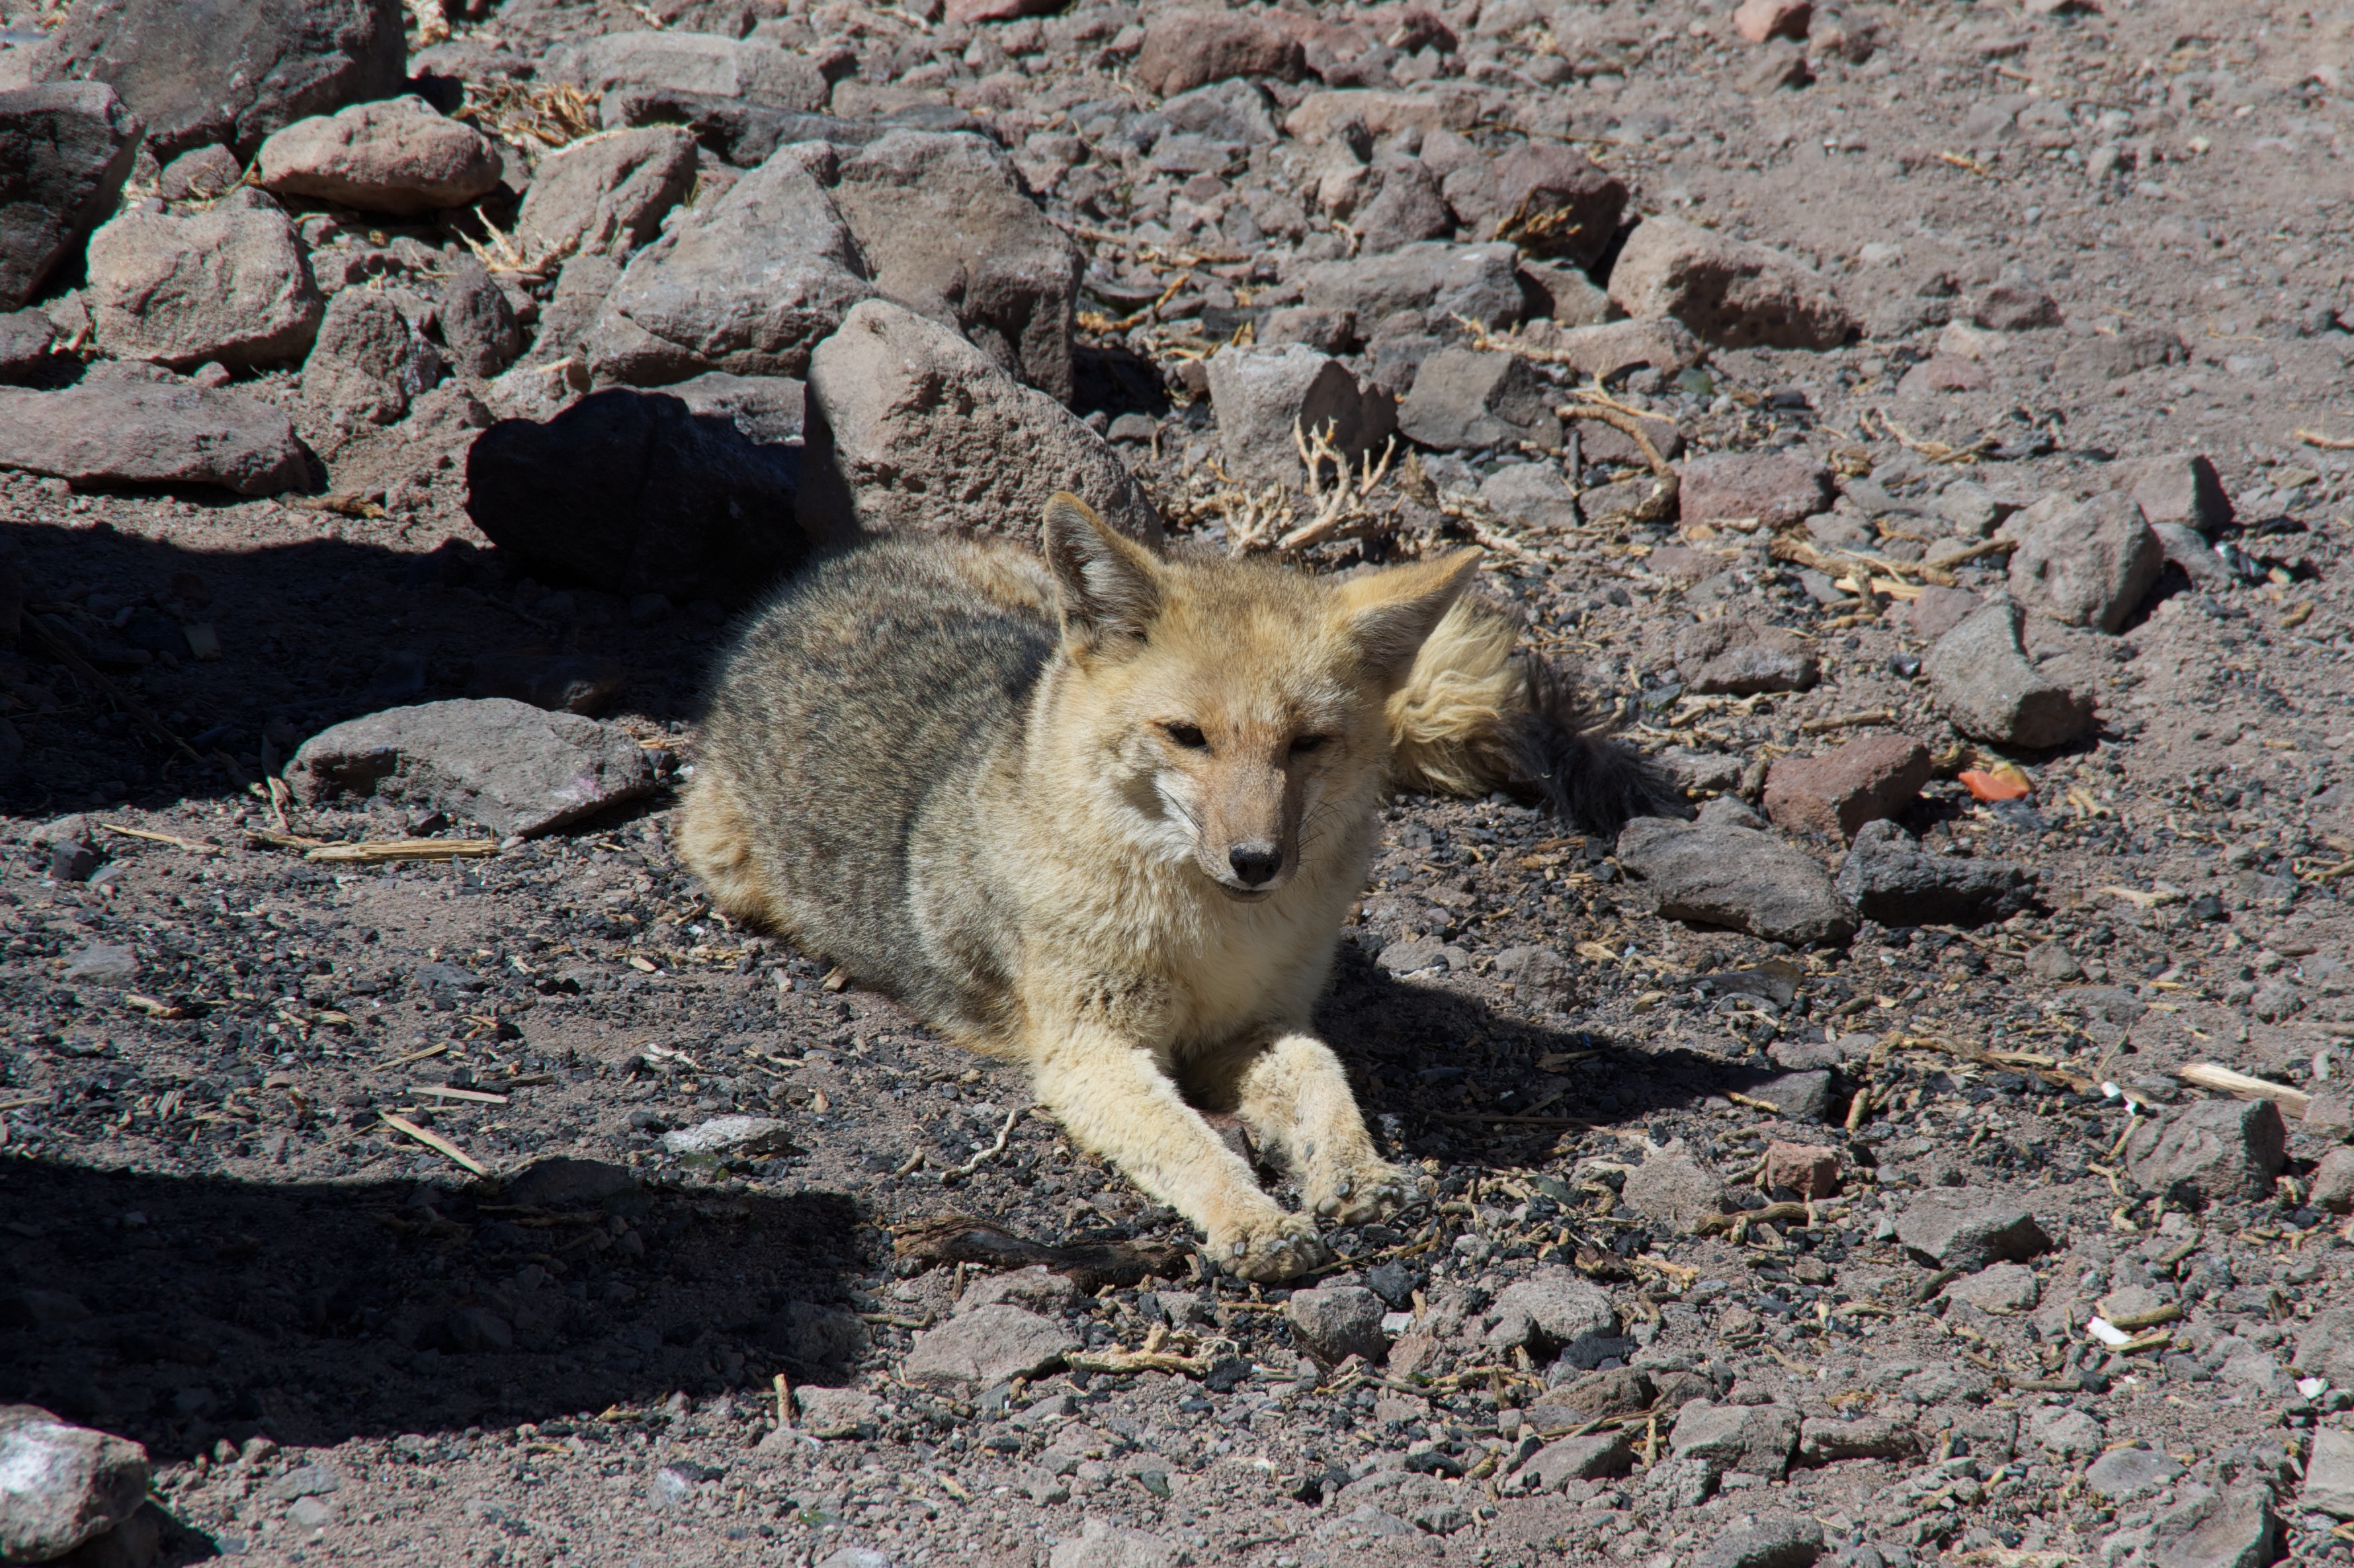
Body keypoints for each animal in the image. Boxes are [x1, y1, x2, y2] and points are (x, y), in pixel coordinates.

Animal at [678, 494, 1667, 1279]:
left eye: (1305, 742)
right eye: (1188, 735)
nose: (1257, 860)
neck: (1210, 934)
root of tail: (817, 578)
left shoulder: (1258, 1025)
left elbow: (1326, 1082)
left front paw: (1357, 1171)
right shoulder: (1090, 1050)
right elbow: (1188, 1142)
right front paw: (1256, 1220)